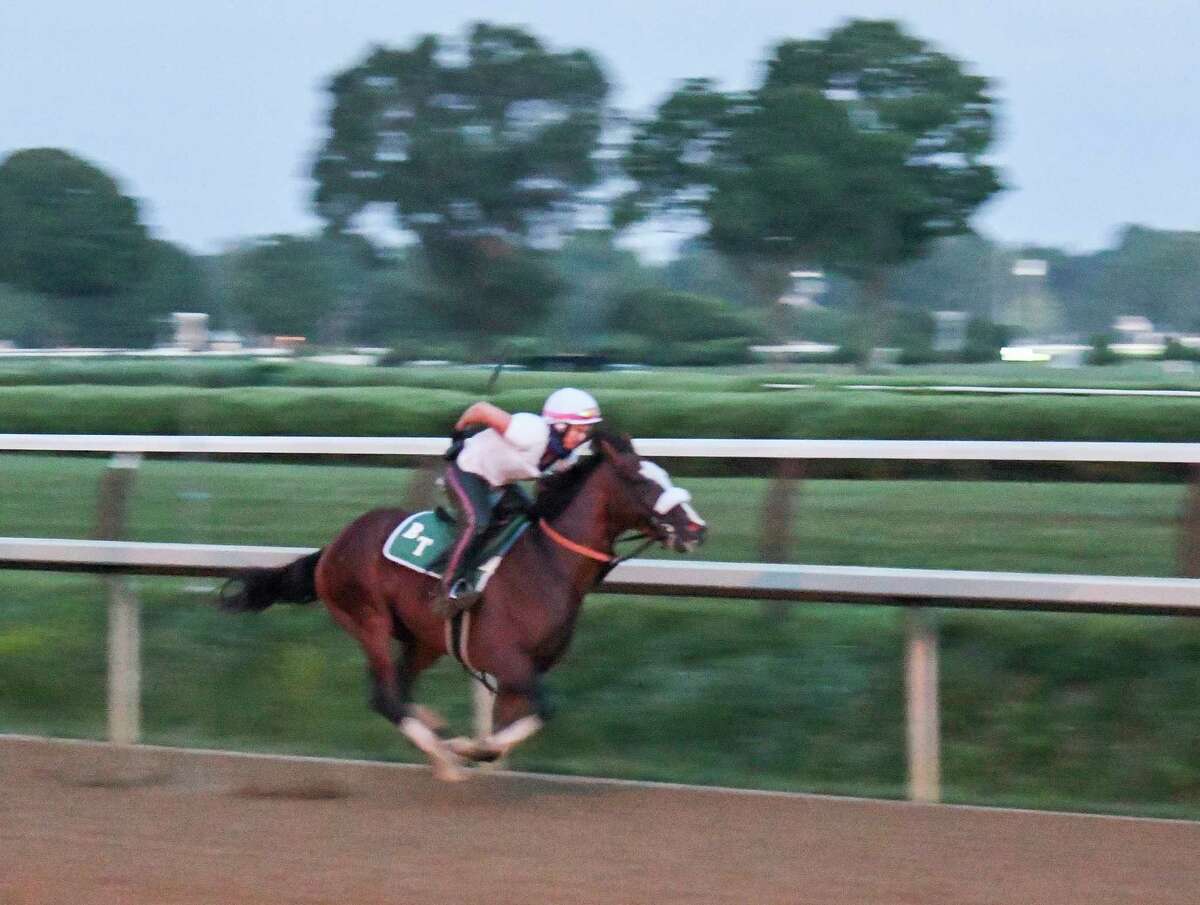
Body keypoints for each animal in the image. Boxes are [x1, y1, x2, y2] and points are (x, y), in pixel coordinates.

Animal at [220, 429, 700, 777]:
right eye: (641, 481)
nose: (696, 528)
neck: (547, 563)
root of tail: (334, 544)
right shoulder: (508, 659)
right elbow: (539, 714)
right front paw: (472, 748)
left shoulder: (525, 670)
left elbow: (515, 725)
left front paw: (474, 746)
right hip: (367, 620)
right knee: (385, 697)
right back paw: (446, 758)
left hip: (424, 640)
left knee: (400, 689)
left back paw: (438, 738)